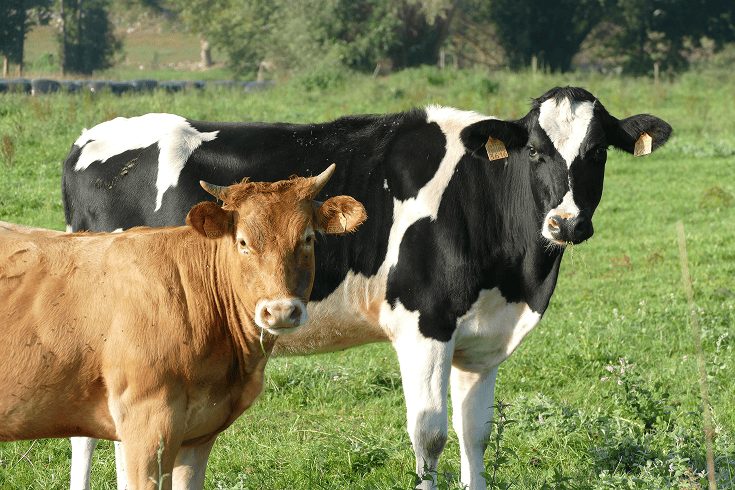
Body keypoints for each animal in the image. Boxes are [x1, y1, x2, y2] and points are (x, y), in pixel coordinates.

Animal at [61, 86, 672, 490]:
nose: (565, 223)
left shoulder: (481, 339)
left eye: (597, 152)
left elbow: (475, 435)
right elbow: (430, 437)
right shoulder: (424, 324)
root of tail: (92, 135)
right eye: (536, 151)